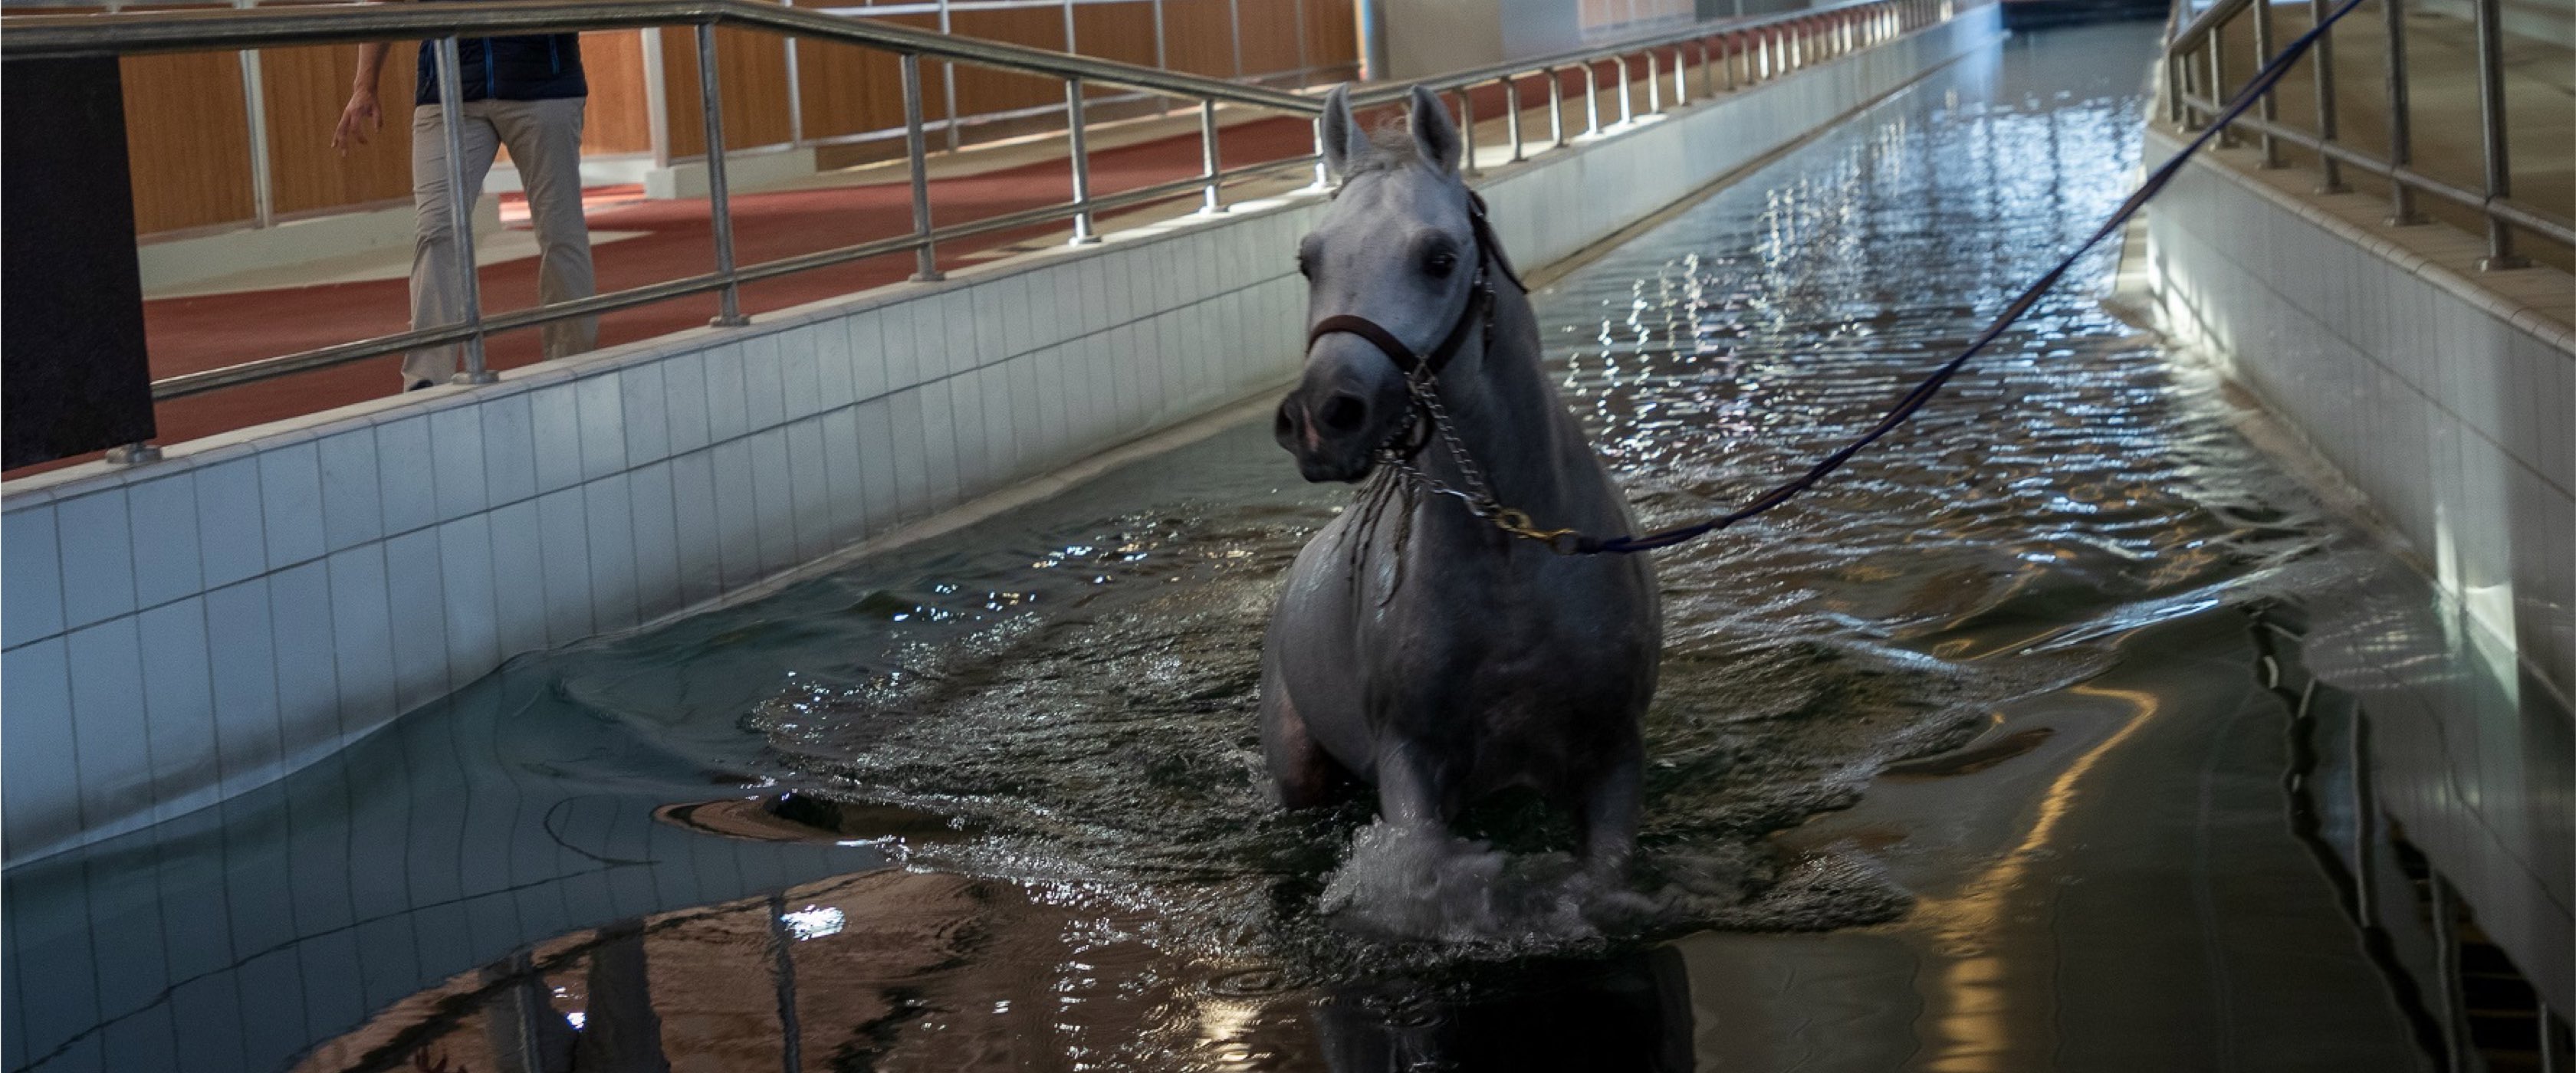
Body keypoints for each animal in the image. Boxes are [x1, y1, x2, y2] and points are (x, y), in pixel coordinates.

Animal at [1259, 84, 1663, 880]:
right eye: (1307, 261)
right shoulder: (1409, 764)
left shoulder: (1614, 761)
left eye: (1439, 259)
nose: (1321, 418)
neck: (1512, 552)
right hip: (1298, 770)